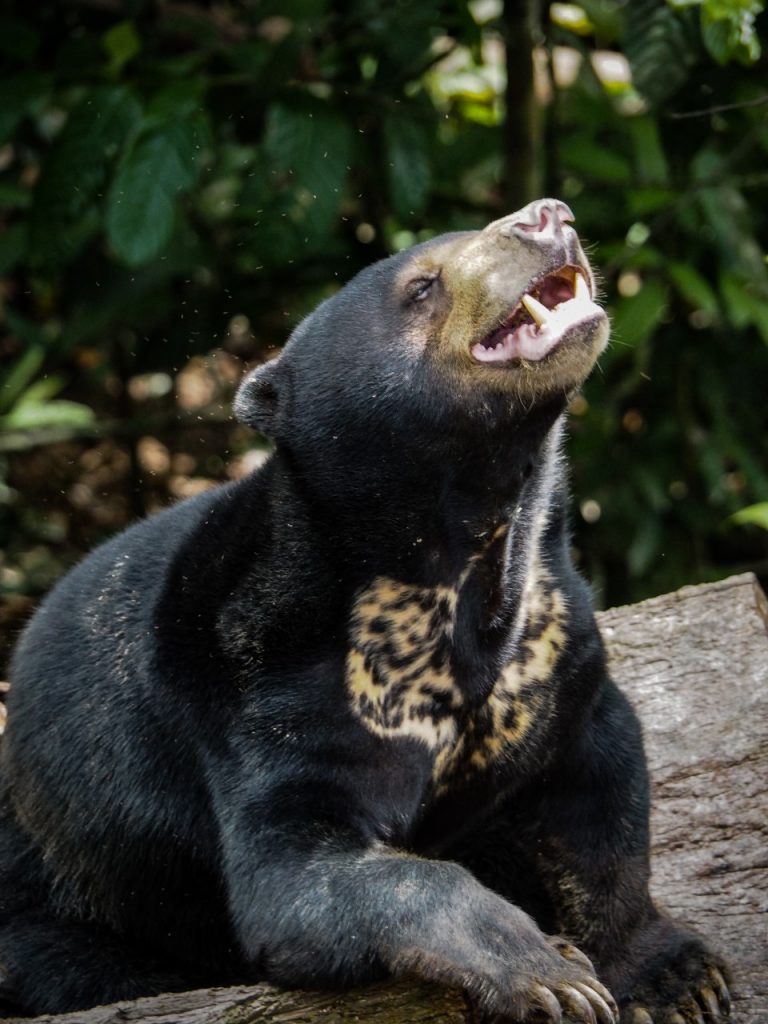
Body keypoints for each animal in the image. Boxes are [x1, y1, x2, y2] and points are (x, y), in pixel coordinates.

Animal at [0, 195, 733, 1019]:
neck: (456, 562)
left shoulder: (555, 649)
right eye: (423, 286)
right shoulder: (270, 699)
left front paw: (679, 978)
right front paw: (550, 971)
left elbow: (603, 801)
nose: (548, 214)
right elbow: (303, 879)